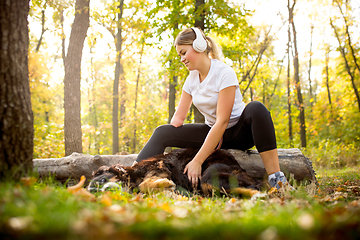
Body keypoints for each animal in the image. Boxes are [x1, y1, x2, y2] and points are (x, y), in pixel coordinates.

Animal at [86, 148, 264, 197]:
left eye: (102, 181)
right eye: (93, 191)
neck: (134, 174)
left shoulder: (159, 166)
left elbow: (145, 184)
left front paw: (165, 184)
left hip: (209, 175)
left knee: (256, 186)